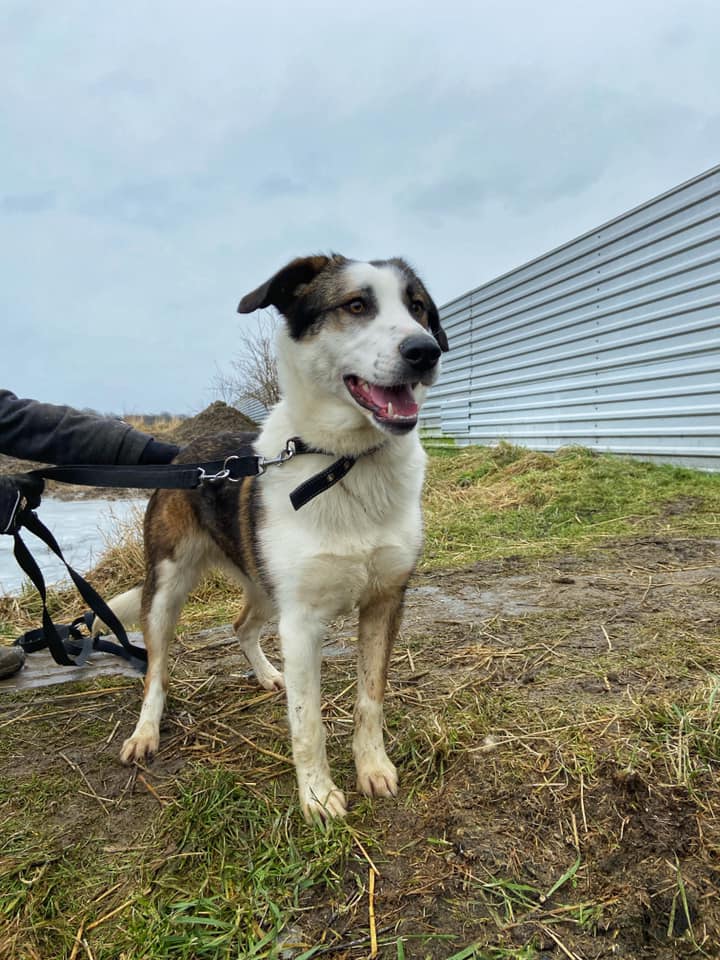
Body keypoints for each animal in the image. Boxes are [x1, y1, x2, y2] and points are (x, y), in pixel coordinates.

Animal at [105, 253, 448, 816]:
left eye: (417, 307)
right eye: (356, 305)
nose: (426, 351)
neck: (344, 462)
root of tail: (182, 452)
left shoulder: (385, 600)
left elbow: (370, 699)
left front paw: (372, 768)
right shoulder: (301, 622)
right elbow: (307, 722)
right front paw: (318, 796)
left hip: (265, 584)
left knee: (241, 624)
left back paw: (267, 674)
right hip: (168, 587)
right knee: (156, 667)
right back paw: (145, 731)